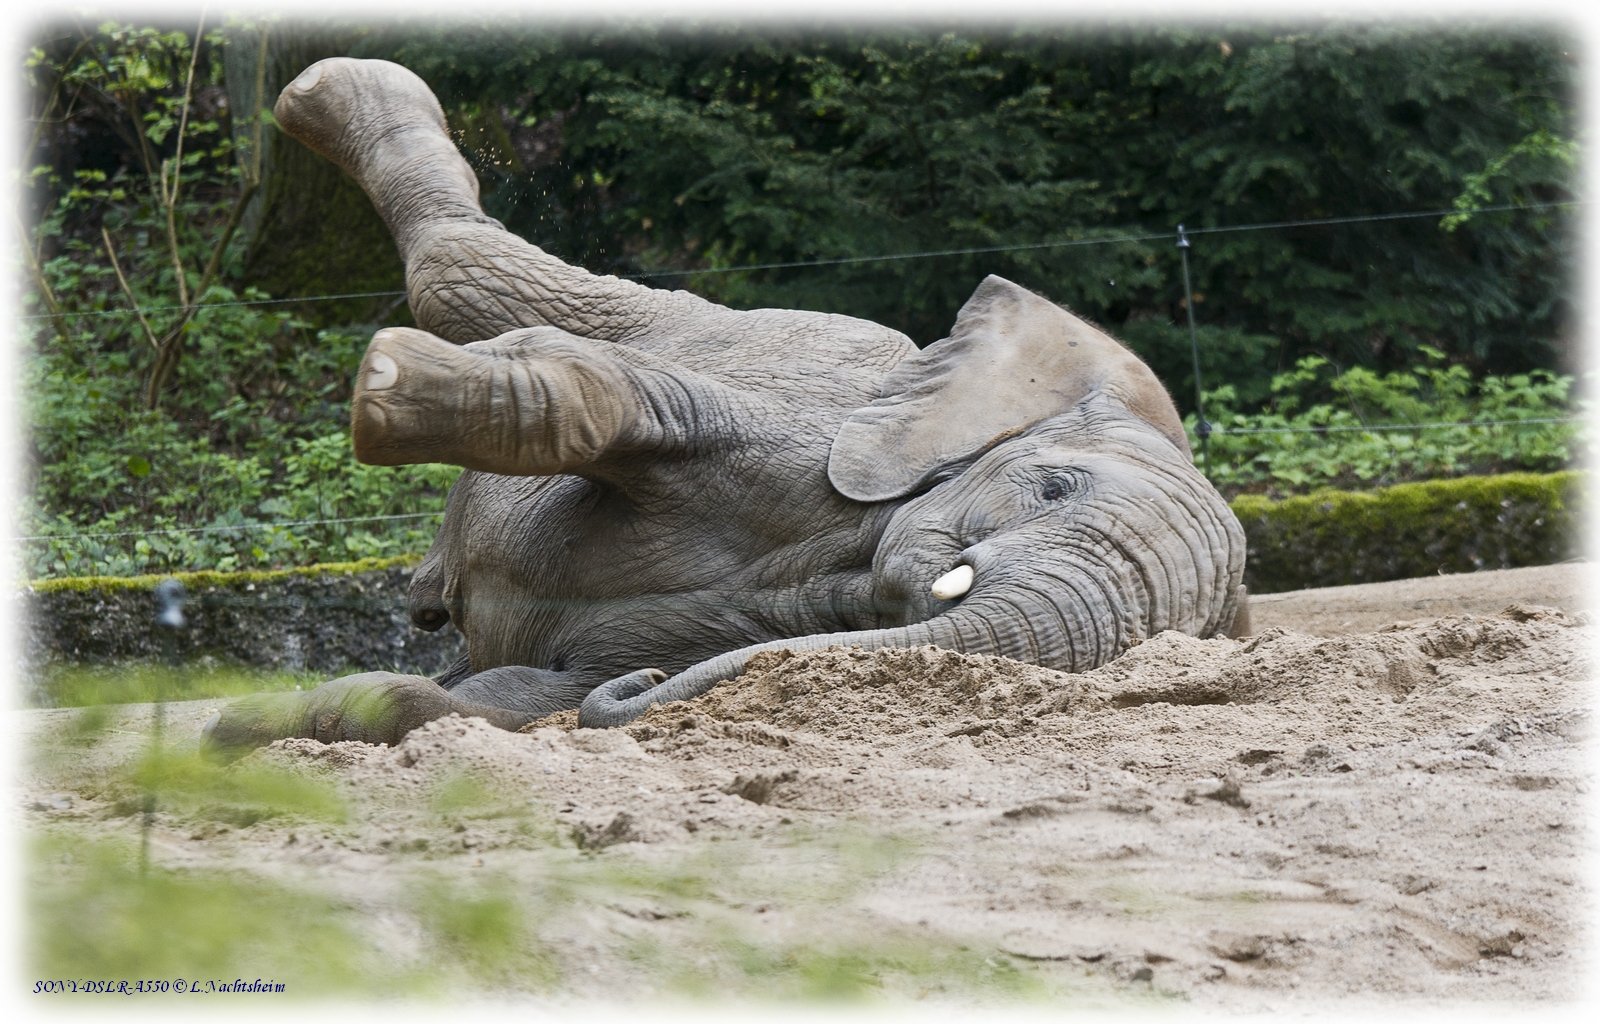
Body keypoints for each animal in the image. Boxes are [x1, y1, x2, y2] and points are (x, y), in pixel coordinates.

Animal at [203, 60, 1248, 748]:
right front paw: (382, 389)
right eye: (1054, 489)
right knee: (464, 275)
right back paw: (335, 93)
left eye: (1165, 641)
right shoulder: (810, 451)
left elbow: (501, 701)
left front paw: (250, 729)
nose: (651, 682)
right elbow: (640, 400)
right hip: (704, 316)